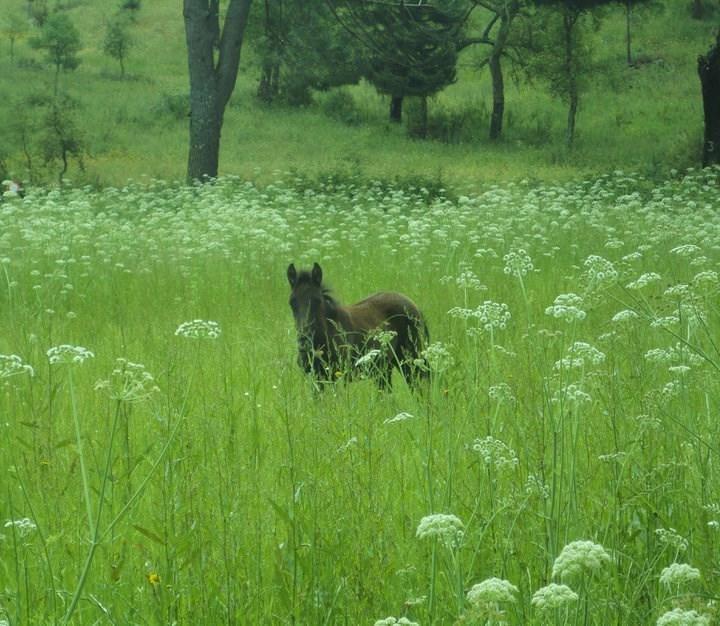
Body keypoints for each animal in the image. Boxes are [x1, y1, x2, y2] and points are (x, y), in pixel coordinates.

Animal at [286, 260, 430, 388]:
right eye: (292, 302)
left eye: (317, 301)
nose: (304, 340)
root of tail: (415, 306)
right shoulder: (316, 379)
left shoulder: (337, 377)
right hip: (385, 369)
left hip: (410, 361)